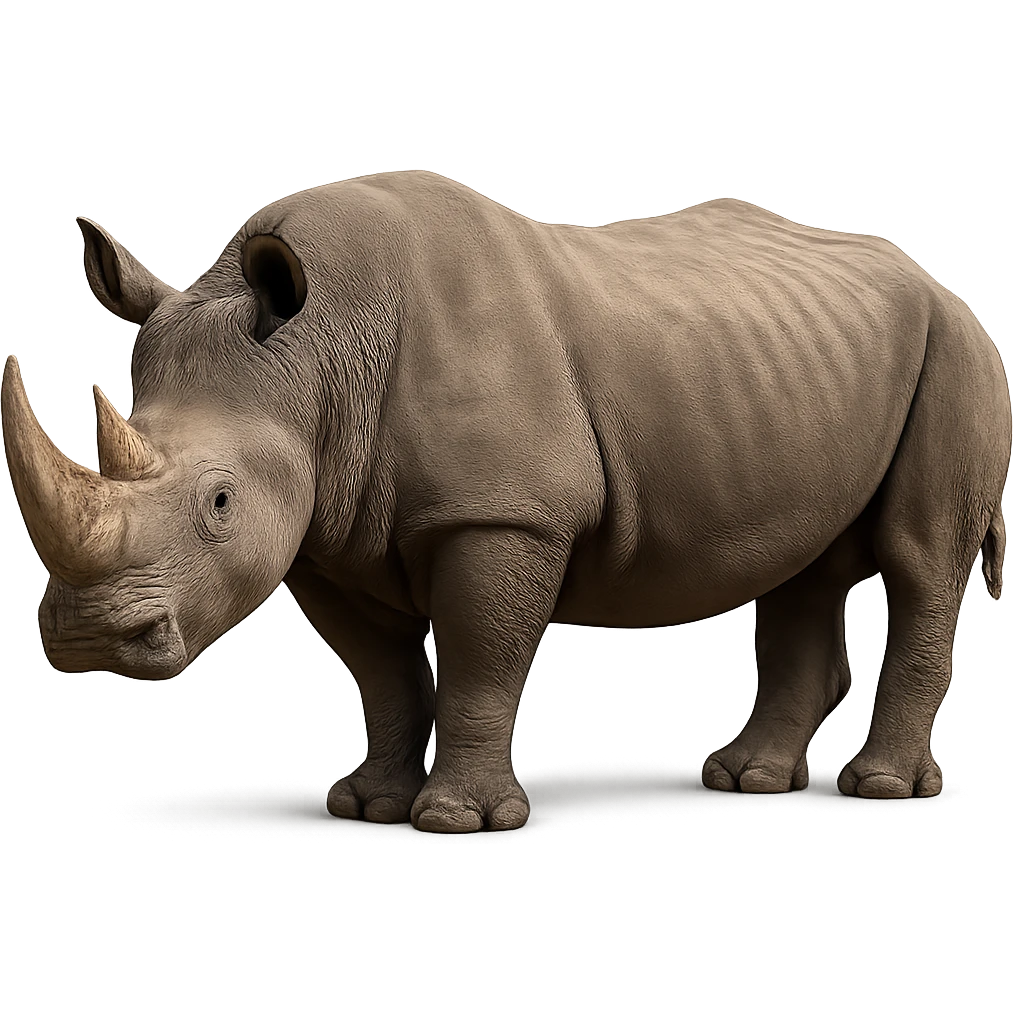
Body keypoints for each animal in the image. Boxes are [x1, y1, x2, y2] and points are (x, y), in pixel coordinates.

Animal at [2, 173, 1008, 833]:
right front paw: (365, 804)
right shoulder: (322, 523)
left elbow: (483, 654)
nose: (86, 638)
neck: (319, 358)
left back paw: (878, 789)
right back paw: (747, 778)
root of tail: (934, 278)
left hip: (957, 345)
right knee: (801, 567)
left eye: (218, 500)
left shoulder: (504, 509)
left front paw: (455, 819)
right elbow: (379, 670)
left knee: (920, 562)